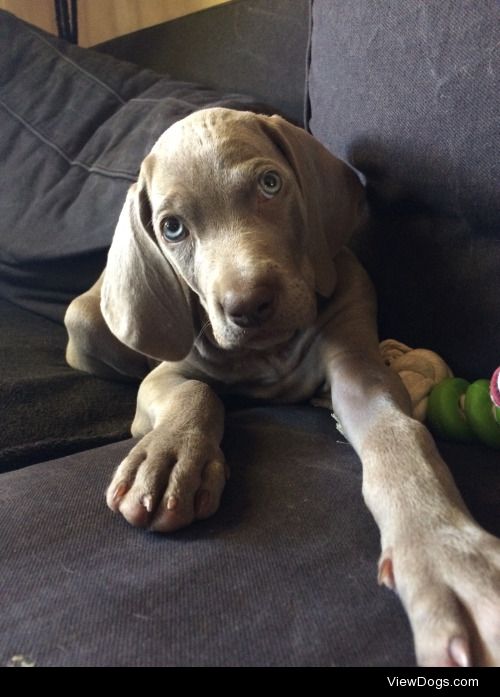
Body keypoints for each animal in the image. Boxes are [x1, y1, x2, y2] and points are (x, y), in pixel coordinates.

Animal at [64, 107, 500, 664]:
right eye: (173, 228)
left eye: (270, 184)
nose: (248, 305)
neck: (268, 354)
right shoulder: (166, 374)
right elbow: (196, 392)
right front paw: (167, 460)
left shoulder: (358, 361)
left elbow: (398, 436)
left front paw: (449, 557)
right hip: (85, 321)